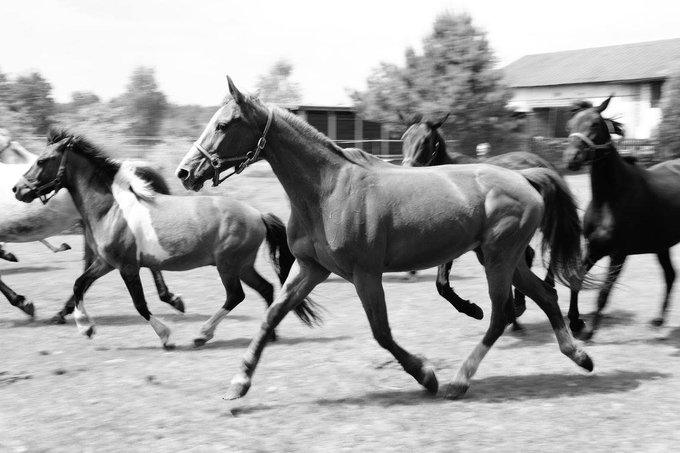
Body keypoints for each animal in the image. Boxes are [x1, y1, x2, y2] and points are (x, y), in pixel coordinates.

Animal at [13, 129, 322, 348]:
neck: (112, 209)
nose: (18, 189)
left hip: (228, 266)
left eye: (41, 161)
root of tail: (257, 214)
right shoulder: (105, 263)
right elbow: (79, 284)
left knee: (236, 295)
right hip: (242, 265)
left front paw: (165, 336)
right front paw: (86, 327)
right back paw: (269, 335)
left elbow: (140, 304)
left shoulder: (127, 267)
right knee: (266, 289)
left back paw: (203, 334)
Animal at [398, 111, 556, 326]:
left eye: (425, 141)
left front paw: (473, 310)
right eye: (404, 138)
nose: (408, 170)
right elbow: (442, 284)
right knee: (527, 255)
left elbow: (442, 284)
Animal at [564, 97, 680, 340]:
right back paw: (658, 321)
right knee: (670, 275)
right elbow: (576, 279)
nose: (572, 159)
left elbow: (604, 292)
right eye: (570, 125)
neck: (610, 197)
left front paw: (590, 332)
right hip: (661, 245)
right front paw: (576, 323)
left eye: (594, 124)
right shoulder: (594, 248)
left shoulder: (618, 254)